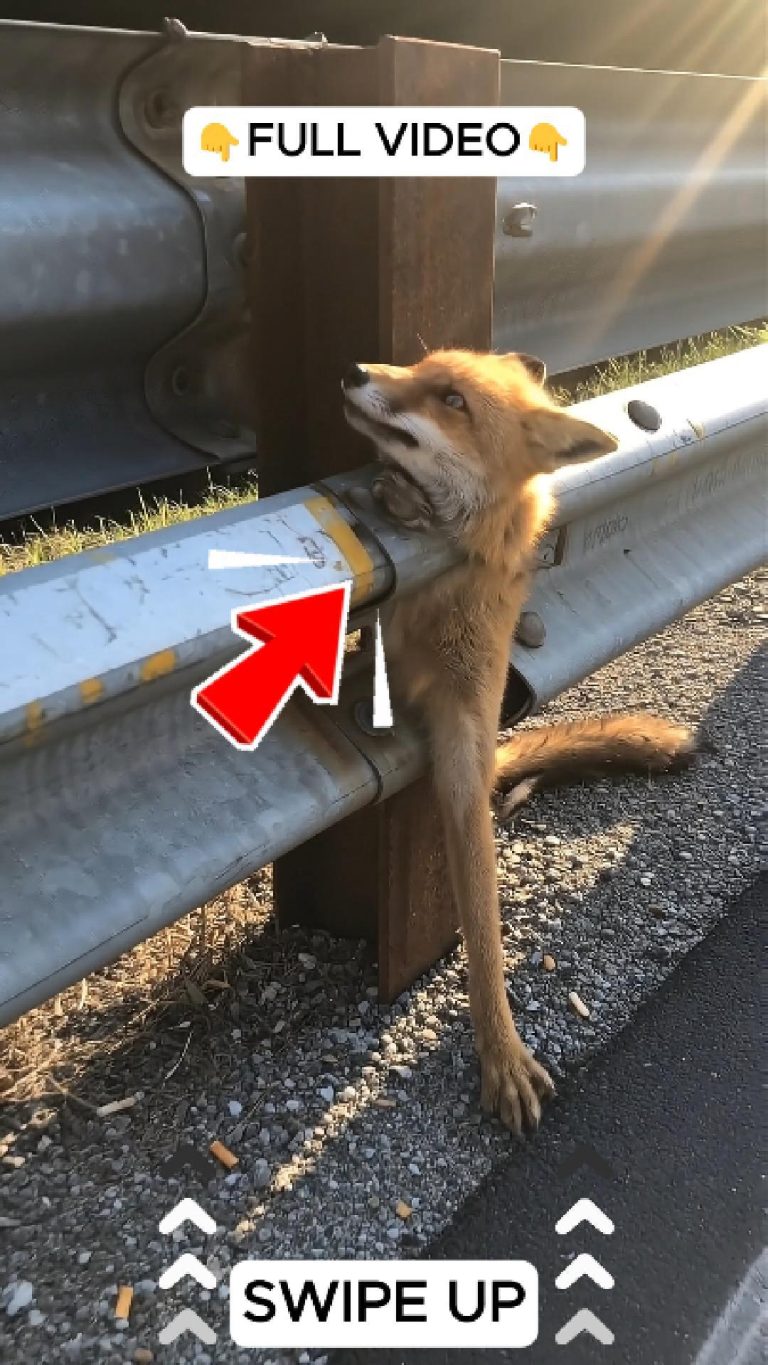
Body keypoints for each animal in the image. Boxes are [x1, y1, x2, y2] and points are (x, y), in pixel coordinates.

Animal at [342, 348, 697, 1133]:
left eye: (452, 399)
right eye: (415, 363)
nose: (354, 372)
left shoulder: (466, 734)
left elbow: (482, 920)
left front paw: (499, 1052)